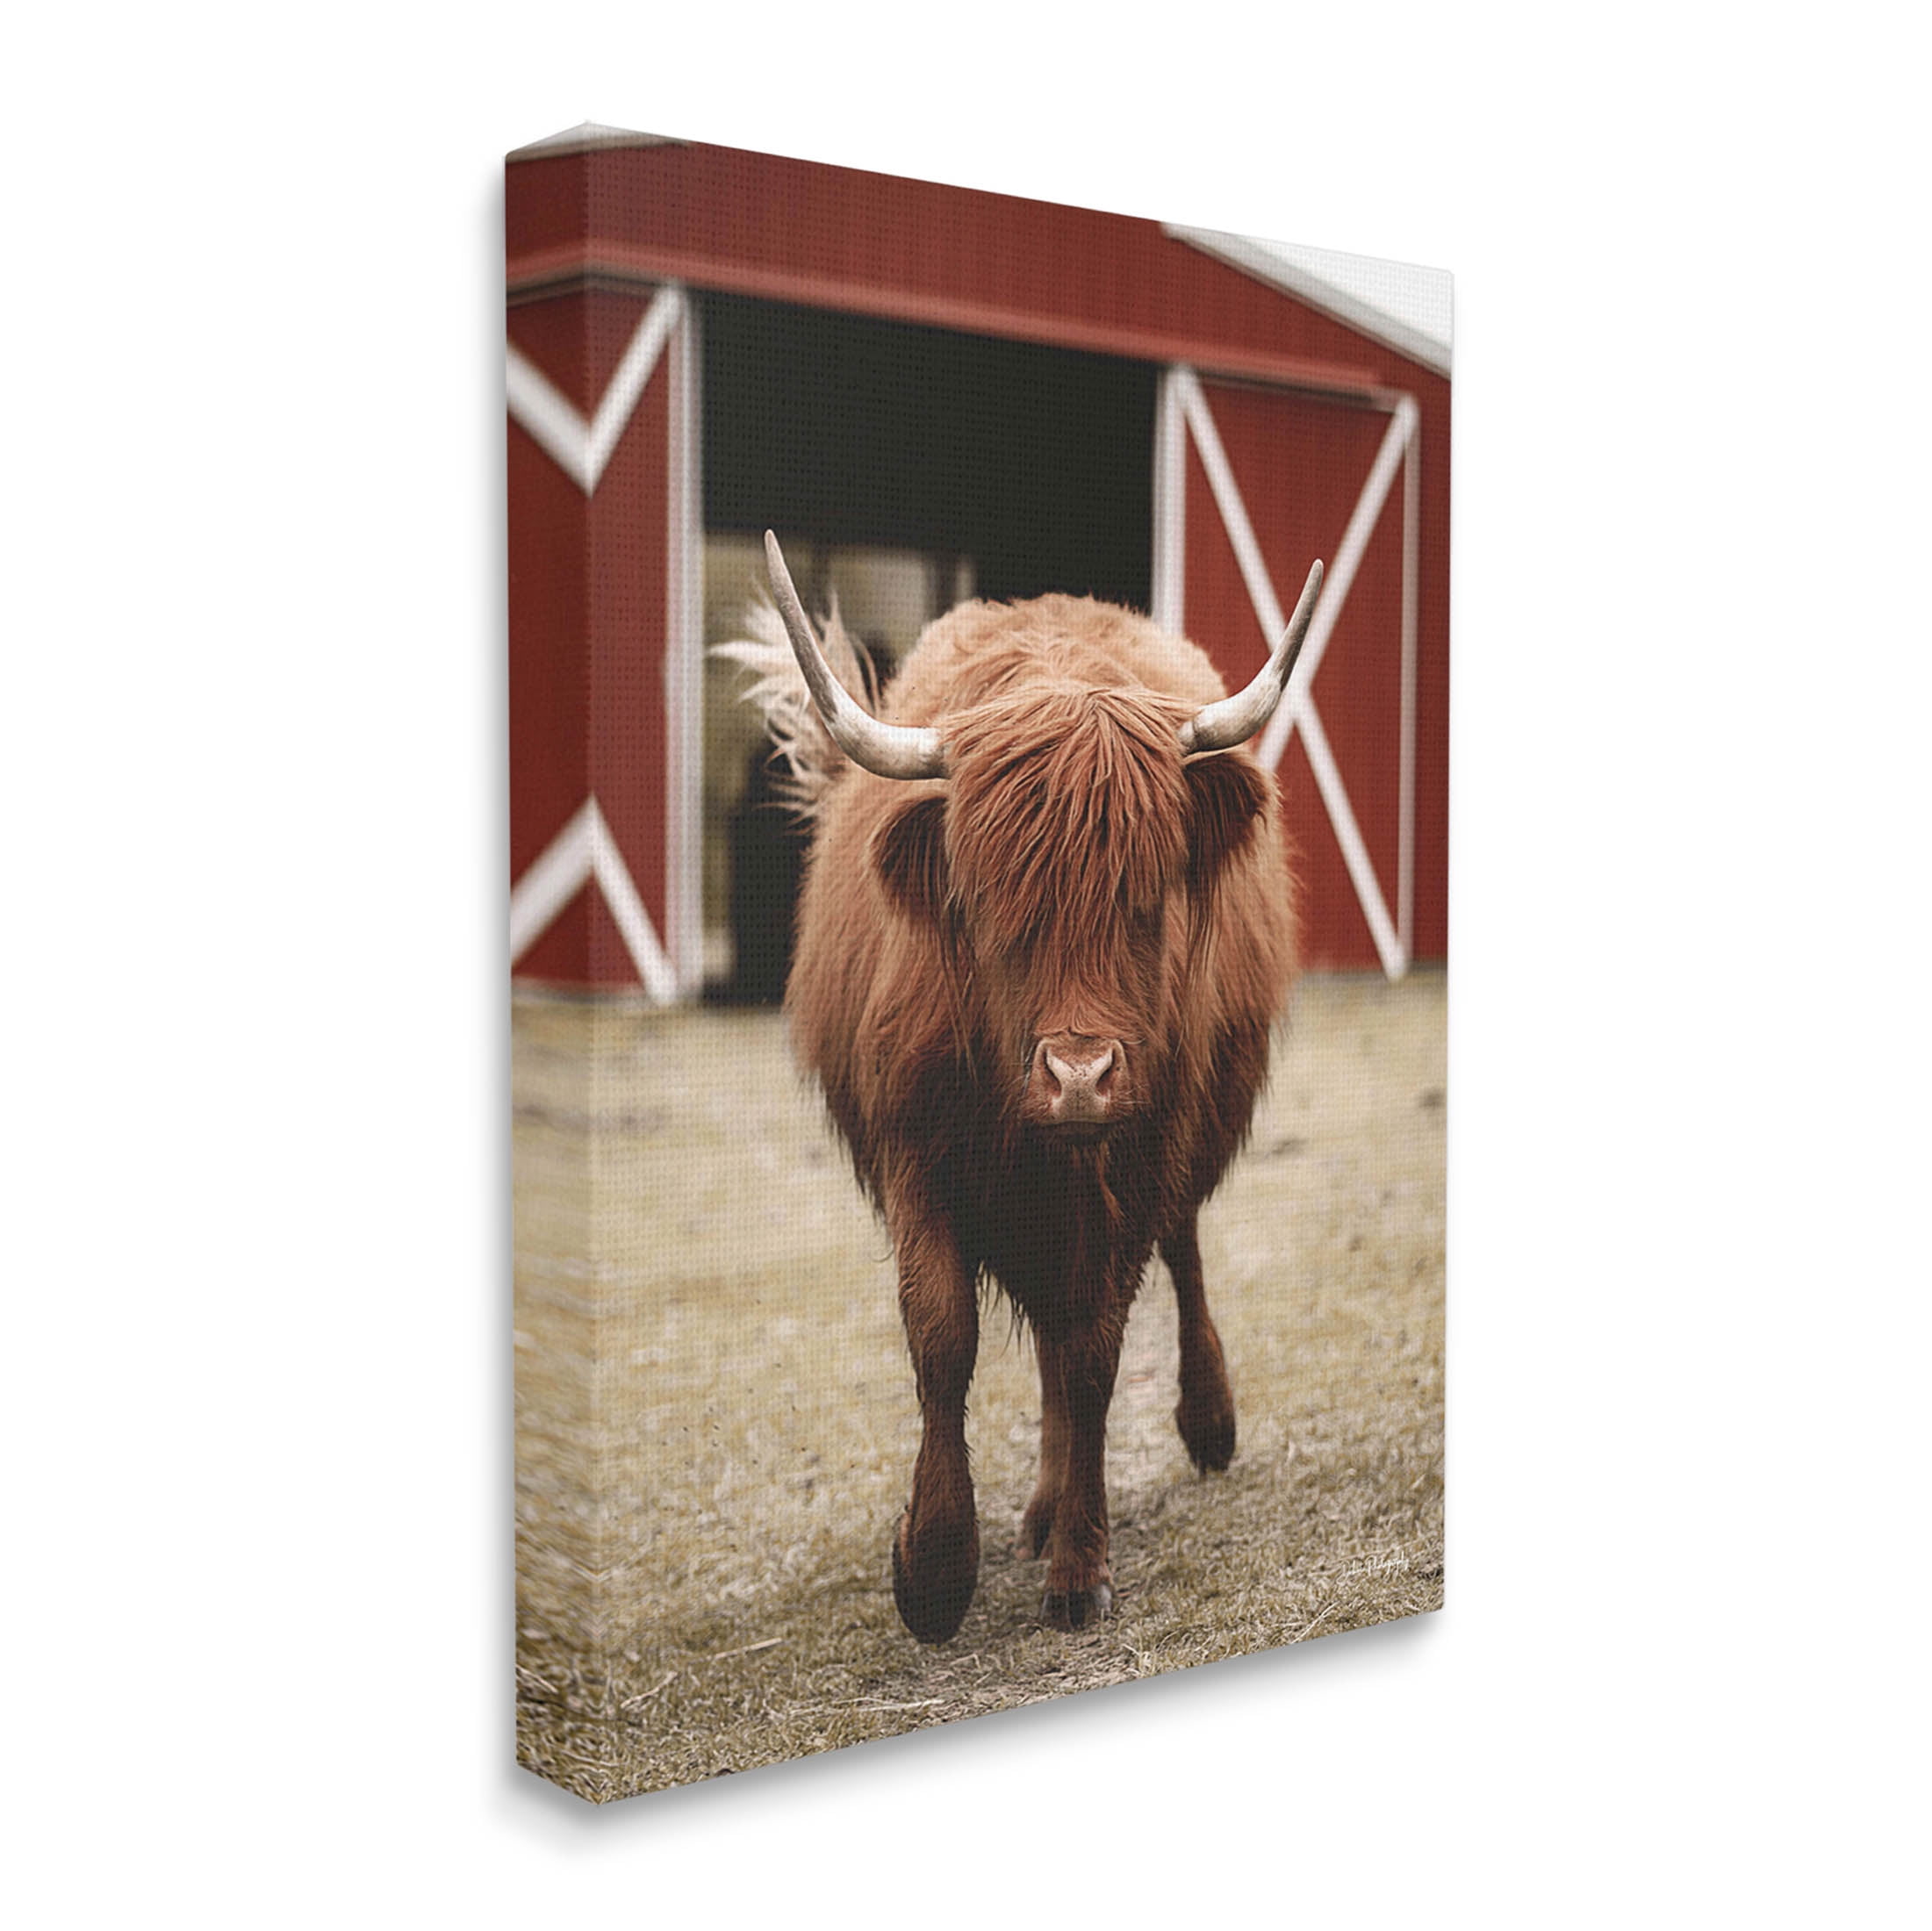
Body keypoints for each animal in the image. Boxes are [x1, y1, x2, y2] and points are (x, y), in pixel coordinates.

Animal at [729, 531, 1321, 1642]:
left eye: (1146, 896)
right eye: (990, 901)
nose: (1078, 1076)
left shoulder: (1137, 1154)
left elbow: (1092, 1352)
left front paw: (1080, 1568)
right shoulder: (913, 1147)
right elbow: (943, 1334)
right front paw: (933, 1571)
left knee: (1169, 1260)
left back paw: (1198, 1427)